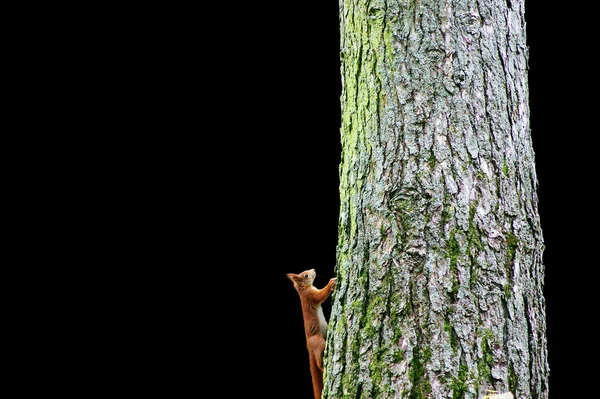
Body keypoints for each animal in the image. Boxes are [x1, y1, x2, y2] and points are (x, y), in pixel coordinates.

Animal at [288, 268, 338, 399]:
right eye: (306, 275)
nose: (313, 269)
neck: (303, 290)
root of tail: (309, 347)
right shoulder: (310, 296)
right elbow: (320, 296)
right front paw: (331, 283)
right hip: (318, 342)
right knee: (319, 361)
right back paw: (324, 368)